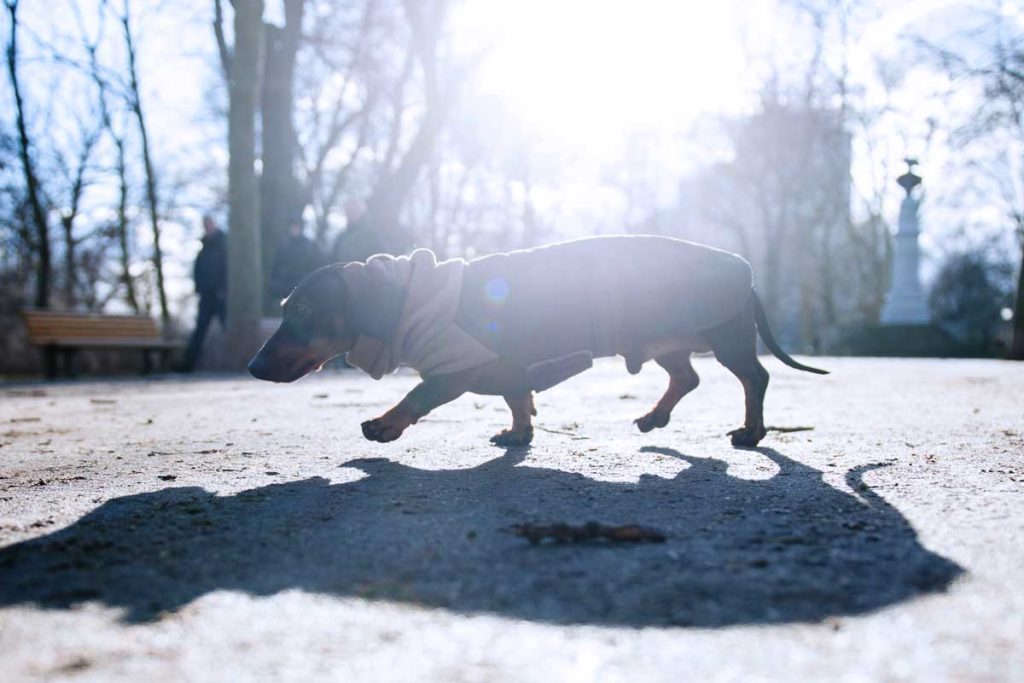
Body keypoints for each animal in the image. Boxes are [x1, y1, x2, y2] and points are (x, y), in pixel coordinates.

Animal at [249, 235, 831, 448]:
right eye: (285, 308)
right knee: (686, 377)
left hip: (727, 336)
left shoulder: (456, 367)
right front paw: (517, 433)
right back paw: (653, 418)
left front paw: (384, 424)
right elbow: (516, 398)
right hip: (669, 342)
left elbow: (419, 394)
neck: (414, 295)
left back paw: (751, 432)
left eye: (302, 311)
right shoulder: (505, 367)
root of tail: (745, 273)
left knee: (755, 377)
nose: (253, 367)